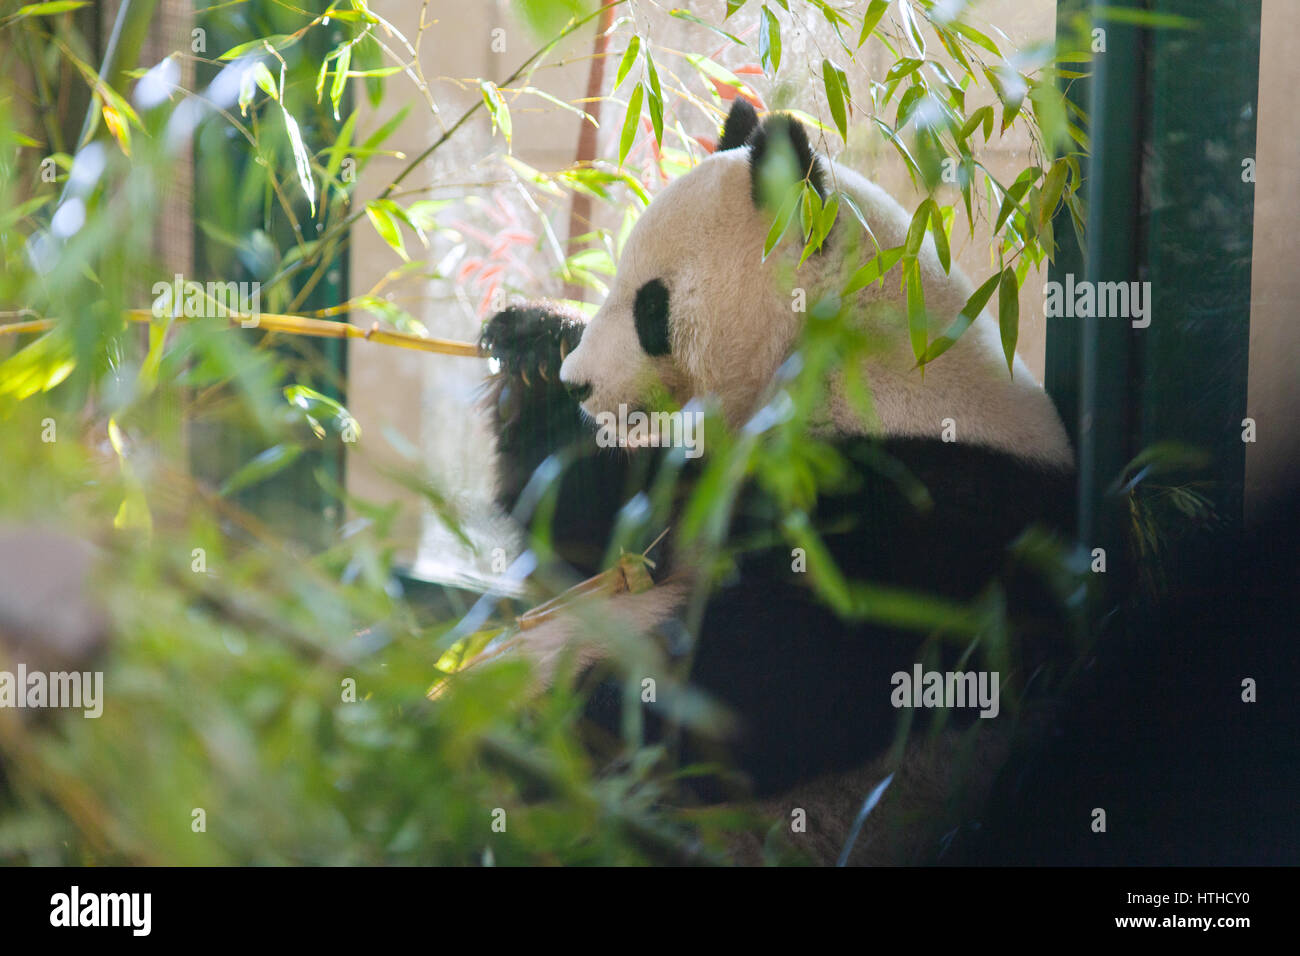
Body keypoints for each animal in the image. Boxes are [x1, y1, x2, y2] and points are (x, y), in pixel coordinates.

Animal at [478, 99, 1076, 865]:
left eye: (650, 307)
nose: (581, 382)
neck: (842, 356)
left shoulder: (934, 507)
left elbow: (793, 676)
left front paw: (592, 703)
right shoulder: (718, 469)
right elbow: (599, 536)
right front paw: (531, 350)